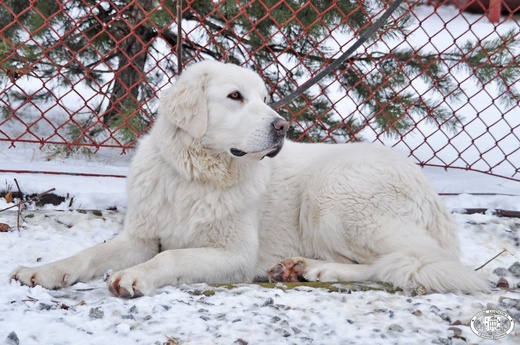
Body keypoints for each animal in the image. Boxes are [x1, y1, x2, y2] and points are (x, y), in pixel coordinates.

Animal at [13, 61, 492, 296]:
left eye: (264, 98)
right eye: (235, 97)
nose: (282, 126)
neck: (197, 175)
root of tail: (435, 197)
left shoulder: (234, 254)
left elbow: (171, 258)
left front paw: (136, 278)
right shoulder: (141, 237)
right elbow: (90, 254)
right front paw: (45, 272)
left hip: (333, 196)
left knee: (411, 262)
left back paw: (314, 269)